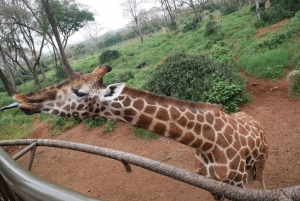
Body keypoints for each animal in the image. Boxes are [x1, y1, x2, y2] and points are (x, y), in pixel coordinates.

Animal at [1, 65, 270, 199]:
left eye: (80, 92)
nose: (20, 100)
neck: (208, 142)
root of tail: (255, 120)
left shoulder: (235, 184)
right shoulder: (211, 186)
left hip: (263, 158)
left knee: (261, 178)